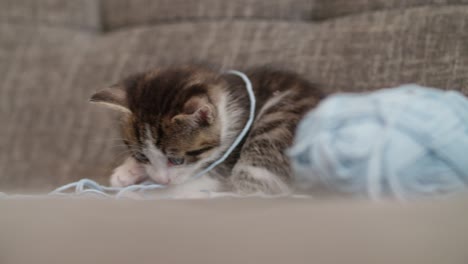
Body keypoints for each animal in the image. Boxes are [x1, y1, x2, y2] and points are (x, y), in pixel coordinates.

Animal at [92, 65, 326, 197]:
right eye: (142, 156)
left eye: (177, 160)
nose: (162, 181)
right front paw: (127, 171)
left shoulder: (230, 155)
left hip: (276, 124)